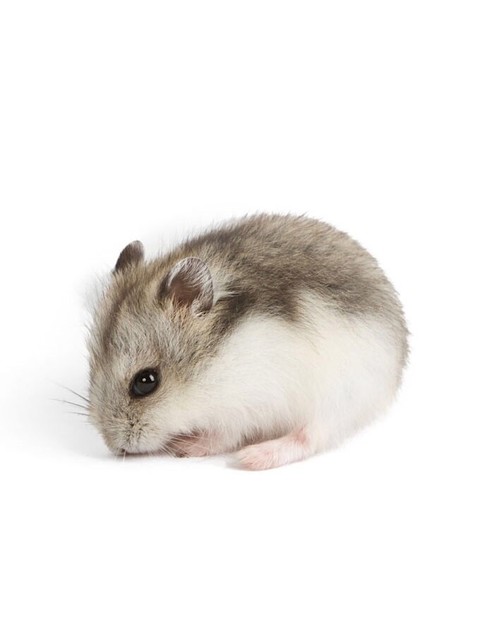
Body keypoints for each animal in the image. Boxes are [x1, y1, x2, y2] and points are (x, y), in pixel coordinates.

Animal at [87, 213, 408, 470]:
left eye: (146, 382)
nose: (115, 447)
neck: (214, 364)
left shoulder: (245, 407)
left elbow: (223, 435)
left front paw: (185, 447)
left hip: (338, 396)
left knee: (309, 436)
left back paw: (253, 458)